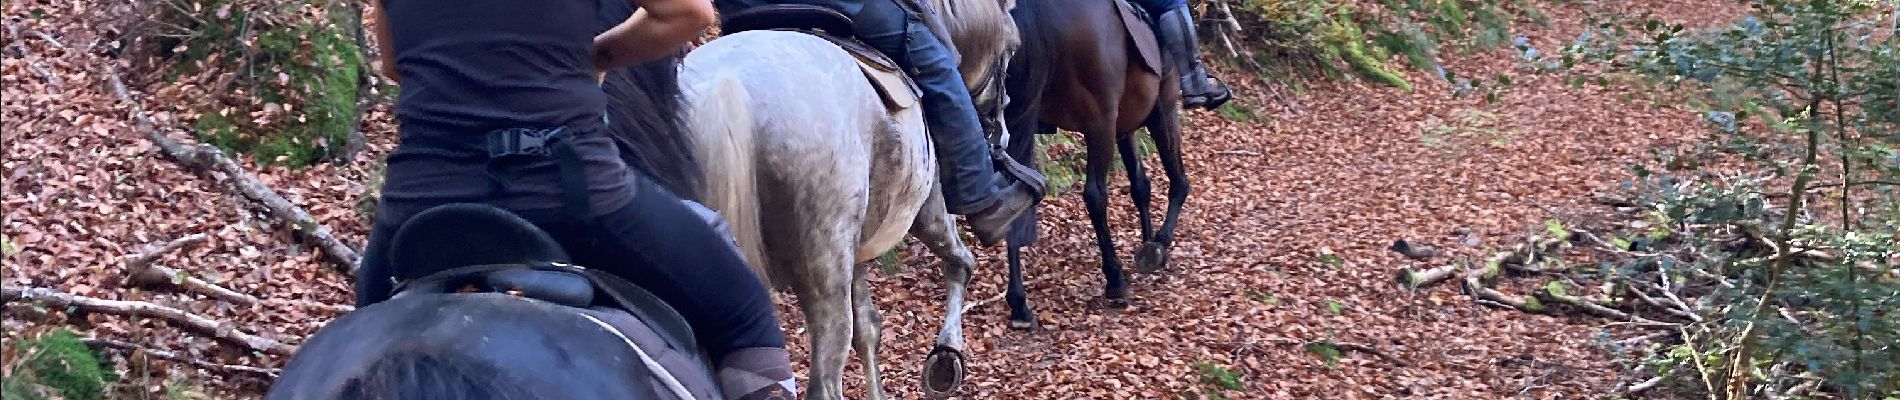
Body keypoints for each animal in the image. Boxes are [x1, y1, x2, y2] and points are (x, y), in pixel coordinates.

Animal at [995, 0, 1185, 327]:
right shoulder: (1162, 108)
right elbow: (1176, 180)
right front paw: (1159, 243)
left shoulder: (1125, 126)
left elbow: (1140, 186)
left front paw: (1149, 240)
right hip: (1101, 121)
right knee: (1096, 196)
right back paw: (1115, 279)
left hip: (1020, 116)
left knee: (1018, 196)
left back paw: (1019, 304)